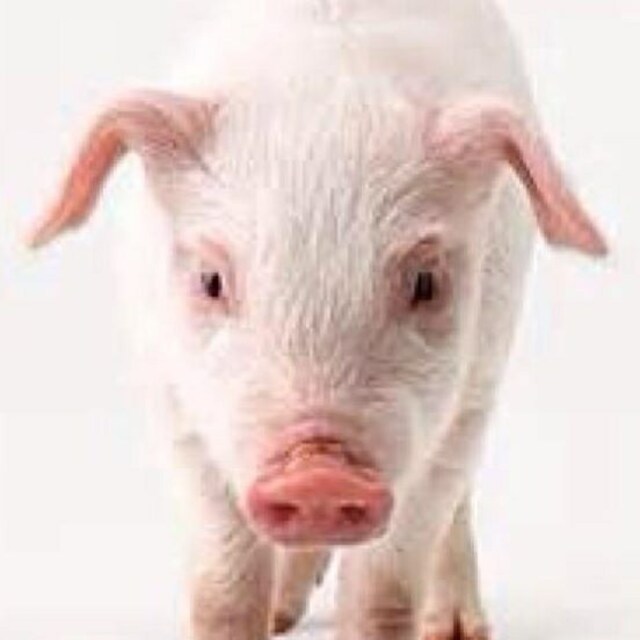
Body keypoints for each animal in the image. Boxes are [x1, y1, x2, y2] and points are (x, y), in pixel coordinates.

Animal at [29, 1, 608, 639]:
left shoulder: (463, 405)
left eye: (426, 283)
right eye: (211, 280)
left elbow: (385, 589)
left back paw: (456, 629)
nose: (319, 475)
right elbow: (223, 586)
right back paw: (283, 615)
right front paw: (259, 614)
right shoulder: (174, 401)